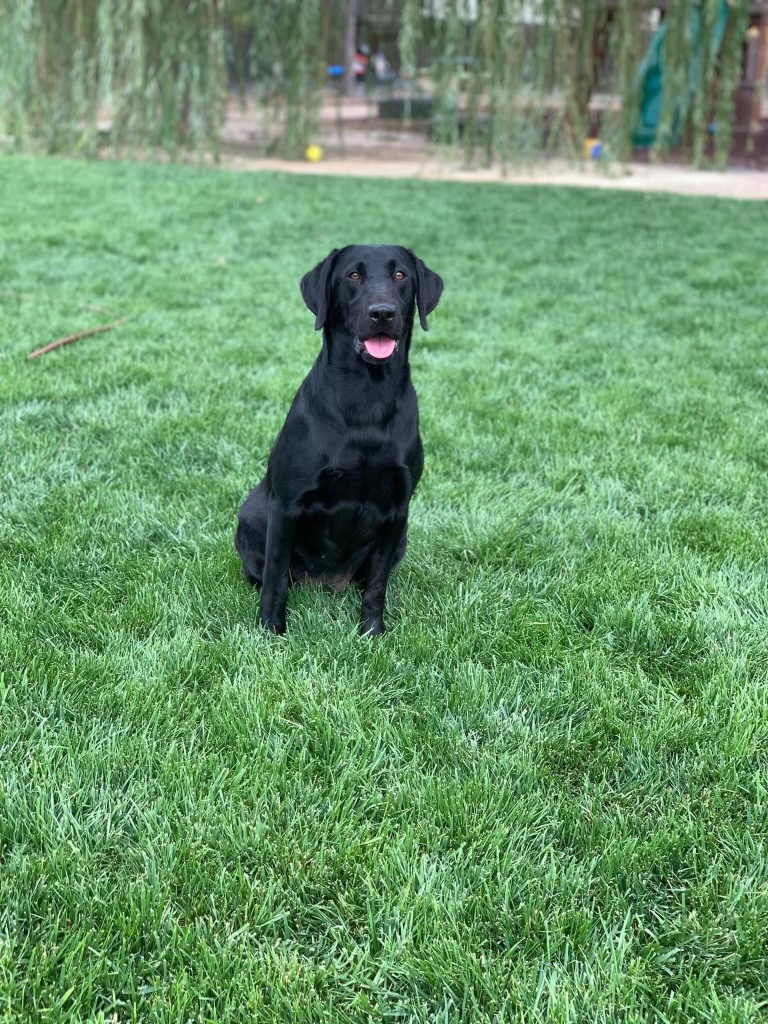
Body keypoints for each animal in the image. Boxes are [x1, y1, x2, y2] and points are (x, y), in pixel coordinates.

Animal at [236, 244, 444, 634]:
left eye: (400, 275)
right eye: (353, 275)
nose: (382, 313)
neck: (366, 396)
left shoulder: (397, 510)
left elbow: (377, 584)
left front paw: (371, 633)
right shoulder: (286, 504)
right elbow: (275, 578)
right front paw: (271, 632)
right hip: (253, 514)